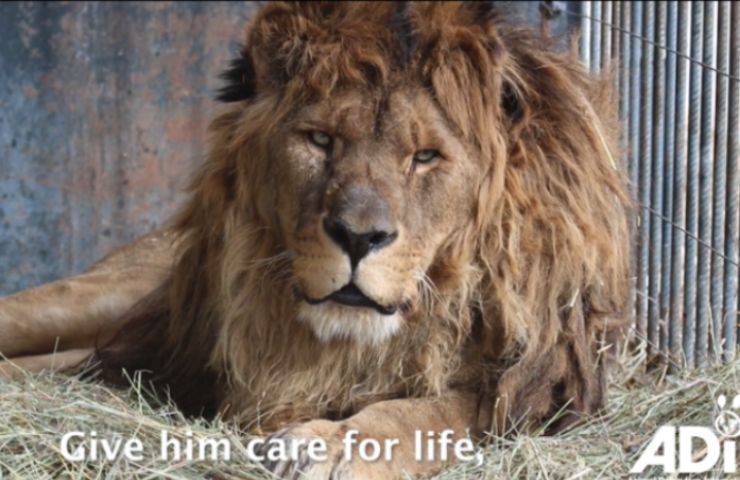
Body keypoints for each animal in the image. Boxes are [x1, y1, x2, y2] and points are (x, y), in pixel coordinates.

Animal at [0, 2, 631, 478]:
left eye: (425, 156)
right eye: (321, 139)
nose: (358, 236)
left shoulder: (538, 390)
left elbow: (432, 413)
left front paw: (327, 444)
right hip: (100, 298)